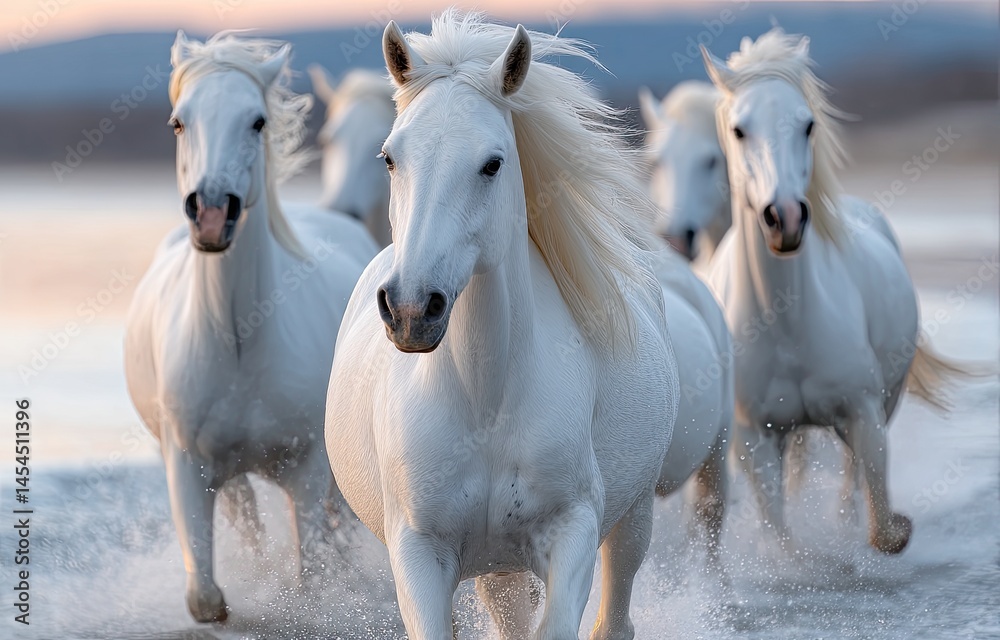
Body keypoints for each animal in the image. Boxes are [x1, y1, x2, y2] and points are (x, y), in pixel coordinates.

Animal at [124, 32, 379, 622]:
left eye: (257, 121)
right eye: (179, 122)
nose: (212, 213)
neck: (242, 340)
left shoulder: (309, 471)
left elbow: (313, 578)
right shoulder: (188, 469)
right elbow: (205, 597)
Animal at [325, 12, 679, 640]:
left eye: (492, 163)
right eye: (390, 157)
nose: (412, 309)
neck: (485, 401)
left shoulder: (573, 531)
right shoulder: (419, 551)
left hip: (632, 520)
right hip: (499, 569)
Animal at [701, 29, 959, 555]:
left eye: (807, 125)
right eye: (739, 130)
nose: (785, 218)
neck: (786, 323)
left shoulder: (864, 414)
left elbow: (881, 527)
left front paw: (882, 532)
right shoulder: (755, 442)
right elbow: (781, 539)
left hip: (886, 401)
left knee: (851, 477)